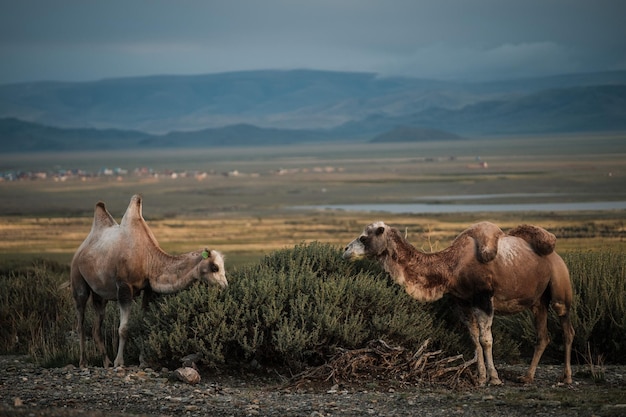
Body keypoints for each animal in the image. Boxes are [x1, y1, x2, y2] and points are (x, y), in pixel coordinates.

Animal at [70, 193, 227, 366]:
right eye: (215, 267)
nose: (225, 286)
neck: (147, 259)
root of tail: (80, 250)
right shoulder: (124, 288)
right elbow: (123, 329)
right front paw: (119, 362)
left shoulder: (148, 289)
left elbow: (144, 324)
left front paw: (143, 360)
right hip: (78, 280)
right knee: (80, 322)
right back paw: (83, 362)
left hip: (100, 294)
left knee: (96, 328)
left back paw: (106, 362)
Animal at [344, 219, 572, 386]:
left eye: (364, 237)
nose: (346, 250)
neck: (452, 268)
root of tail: (557, 256)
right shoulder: (462, 303)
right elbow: (474, 339)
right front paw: (480, 378)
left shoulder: (483, 298)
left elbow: (486, 340)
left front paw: (494, 379)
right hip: (538, 302)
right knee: (543, 336)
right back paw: (527, 377)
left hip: (560, 289)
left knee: (567, 329)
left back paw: (566, 377)